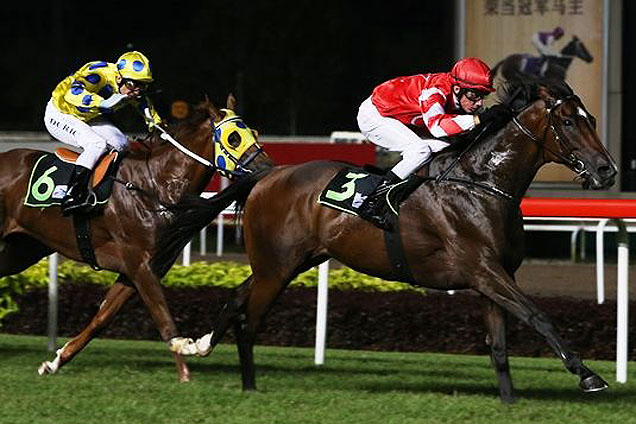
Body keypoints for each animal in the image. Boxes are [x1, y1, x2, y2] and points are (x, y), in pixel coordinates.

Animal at [0, 94, 270, 382]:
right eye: (234, 138)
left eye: (254, 133)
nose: (266, 167)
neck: (155, 186)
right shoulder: (140, 264)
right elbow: (163, 317)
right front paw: (186, 368)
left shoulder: (136, 270)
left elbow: (101, 318)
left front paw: (55, 361)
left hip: (20, 251)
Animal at [163, 78, 616, 402]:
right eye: (569, 122)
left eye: (593, 119)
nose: (606, 170)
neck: (481, 184)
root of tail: (267, 175)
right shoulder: (484, 270)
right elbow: (539, 316)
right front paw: (589, 375)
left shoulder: (493, 276)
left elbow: (499, 345)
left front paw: (509, 402)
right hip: (277, 266)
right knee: (250, 320)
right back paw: (249, 387)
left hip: (289, 262)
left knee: (236, 298)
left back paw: (199, 346)